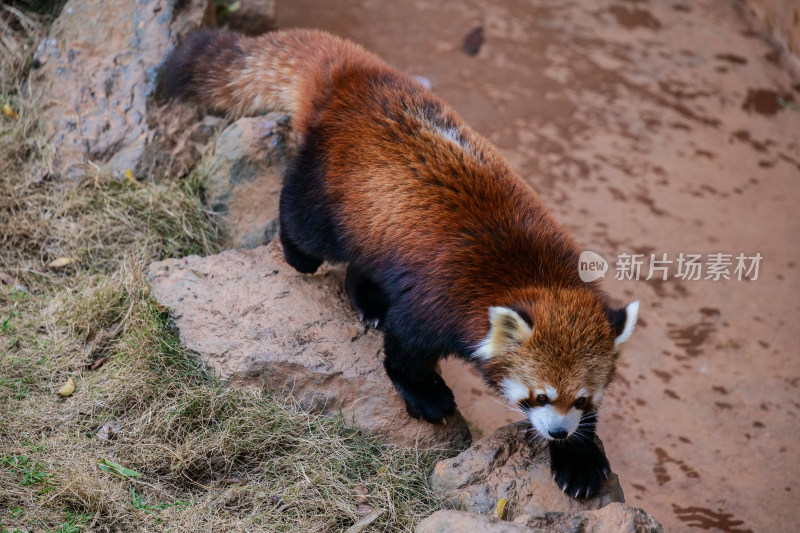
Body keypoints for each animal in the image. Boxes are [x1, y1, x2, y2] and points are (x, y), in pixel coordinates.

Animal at [161, 28, 636, 494]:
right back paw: (300, 256)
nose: (558, 431)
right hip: (330, 188)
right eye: (539, 396)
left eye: (581, 399)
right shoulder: (442, 296)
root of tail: (357, 74)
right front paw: (427, 395)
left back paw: (369, 300)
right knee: (304, 222)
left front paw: (579, 457)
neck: (536, 277)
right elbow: (406, 346)